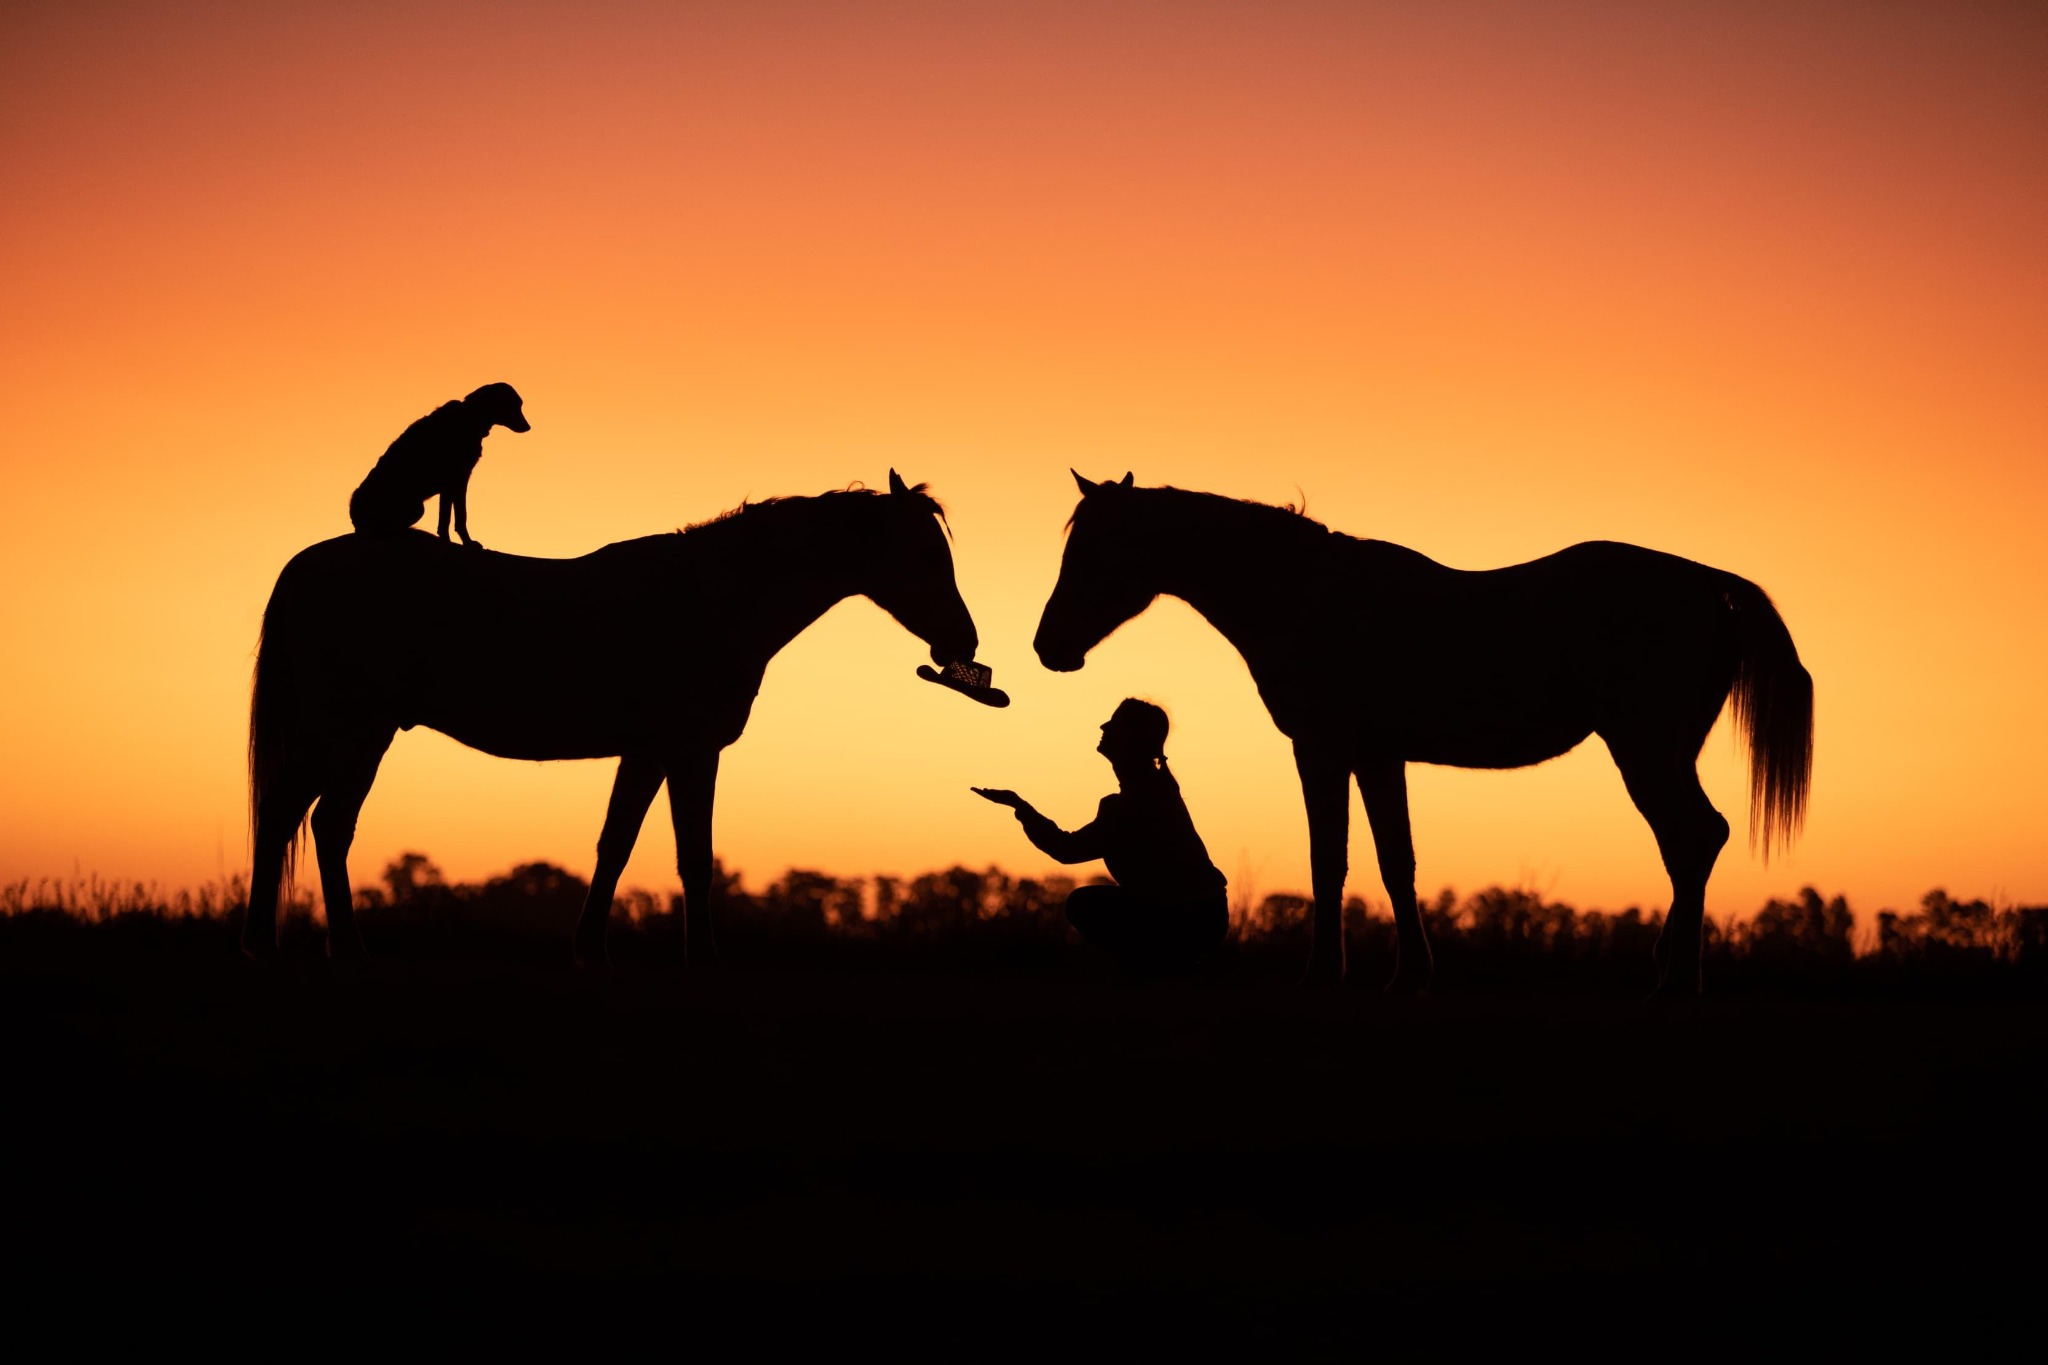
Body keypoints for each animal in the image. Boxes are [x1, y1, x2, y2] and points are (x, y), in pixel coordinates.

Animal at [245, 471, 978, 966]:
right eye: (923, 556)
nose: (964, 643)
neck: (713, 599)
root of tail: (310, 564)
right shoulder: (690, 751)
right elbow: (695, 858)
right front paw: (702, 959)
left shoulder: (647, 752)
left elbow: (615, 846)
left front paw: (589, 950)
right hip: (344, 731)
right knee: (292, 818)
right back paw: (277, 946)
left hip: (359, 736)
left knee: (324, 825)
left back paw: (339, 949)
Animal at [1032, 472, 1813, 995]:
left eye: (1095, 550)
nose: (1048, 647)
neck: (1307, 597)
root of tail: (1709, 584)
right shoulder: (1379, 757)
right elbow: (1394, 861)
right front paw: (1410, 974)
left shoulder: (1321, 750)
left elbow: (1330, 861)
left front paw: (1324, 975)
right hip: (1666, 751)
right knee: (1697, 840)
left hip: (1644, 749)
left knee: (1692, 838)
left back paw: (1676, 979)